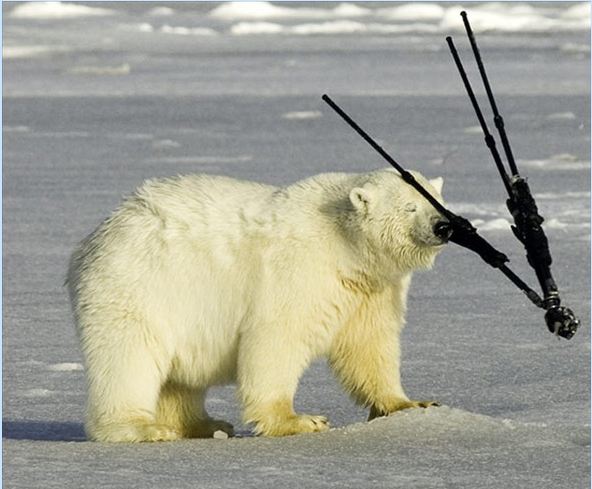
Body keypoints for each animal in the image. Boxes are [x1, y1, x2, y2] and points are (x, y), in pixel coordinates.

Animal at [67, 169, 448, 442]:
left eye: (437, 203)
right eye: (410, 206)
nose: (442, 227)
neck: (345, 245)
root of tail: (93, 241)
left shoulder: (371, 289)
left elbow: (369, 344)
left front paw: (412, 403)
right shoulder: (299, 269)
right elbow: (277, 337)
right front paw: (299, 420)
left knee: (179, 379)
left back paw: (205, 424)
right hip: (139, 286)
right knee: (128, 359)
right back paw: (144, 428)